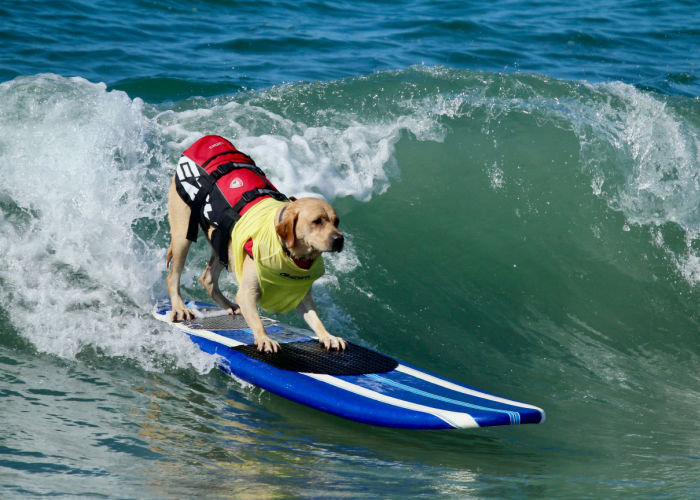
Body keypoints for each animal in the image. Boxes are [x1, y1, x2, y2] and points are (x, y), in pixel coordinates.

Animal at [167, 135, 348, 354]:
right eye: (317, 221)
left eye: (336, 221)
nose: (339, 239)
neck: (288, 252)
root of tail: (206, 139)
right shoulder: (247, 293)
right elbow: (257, 321)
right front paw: (264, 338)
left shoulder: (302, 298)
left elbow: (316, 320)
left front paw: (328, 336)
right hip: (182, 234)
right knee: (173, 276)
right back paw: (180, 307)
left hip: (222, 242)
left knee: (208, 278)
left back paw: (227, 305)